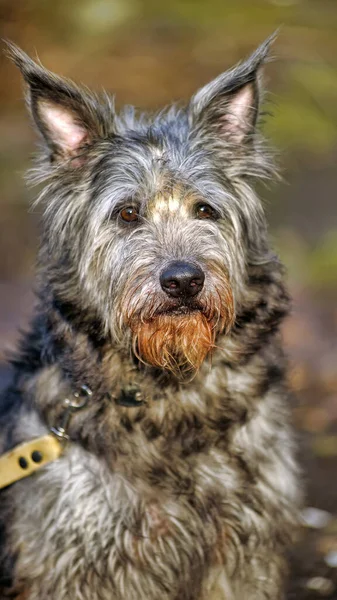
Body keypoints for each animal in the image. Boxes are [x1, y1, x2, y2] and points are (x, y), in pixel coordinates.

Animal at [0, 35, 300, 596]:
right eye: (127, 213)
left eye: (205, 209)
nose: (182, 280)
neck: (169, 392)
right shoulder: (72, 556)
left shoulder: (244, 550)